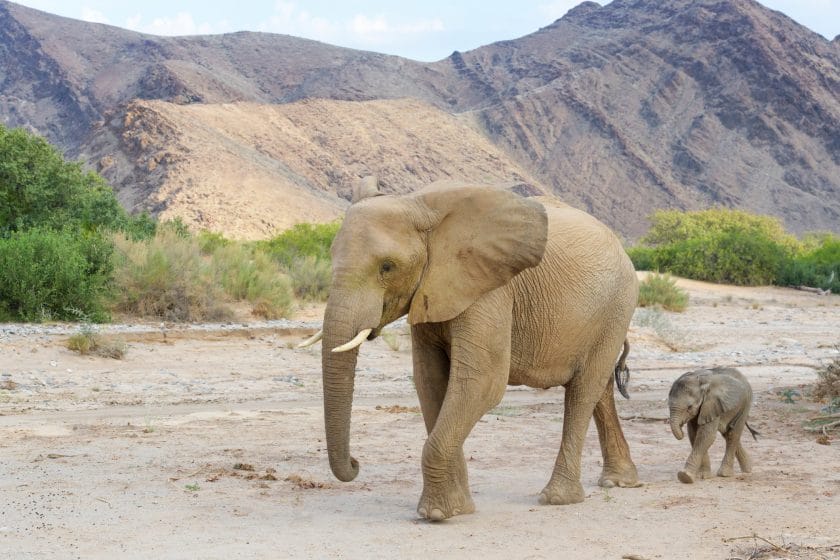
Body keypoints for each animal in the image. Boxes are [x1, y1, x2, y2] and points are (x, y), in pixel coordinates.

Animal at [306, 178, 640, 520]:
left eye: (387, 267)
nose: (356, 463)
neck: (420, 206)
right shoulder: (432, 290)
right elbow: (430, 383)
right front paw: (458, 509)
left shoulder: (489, 288)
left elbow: (481, 383)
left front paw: (436, 514)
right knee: (599, 389)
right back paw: (619, 482)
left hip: (617, 304)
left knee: (583, 390)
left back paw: (558, 498)